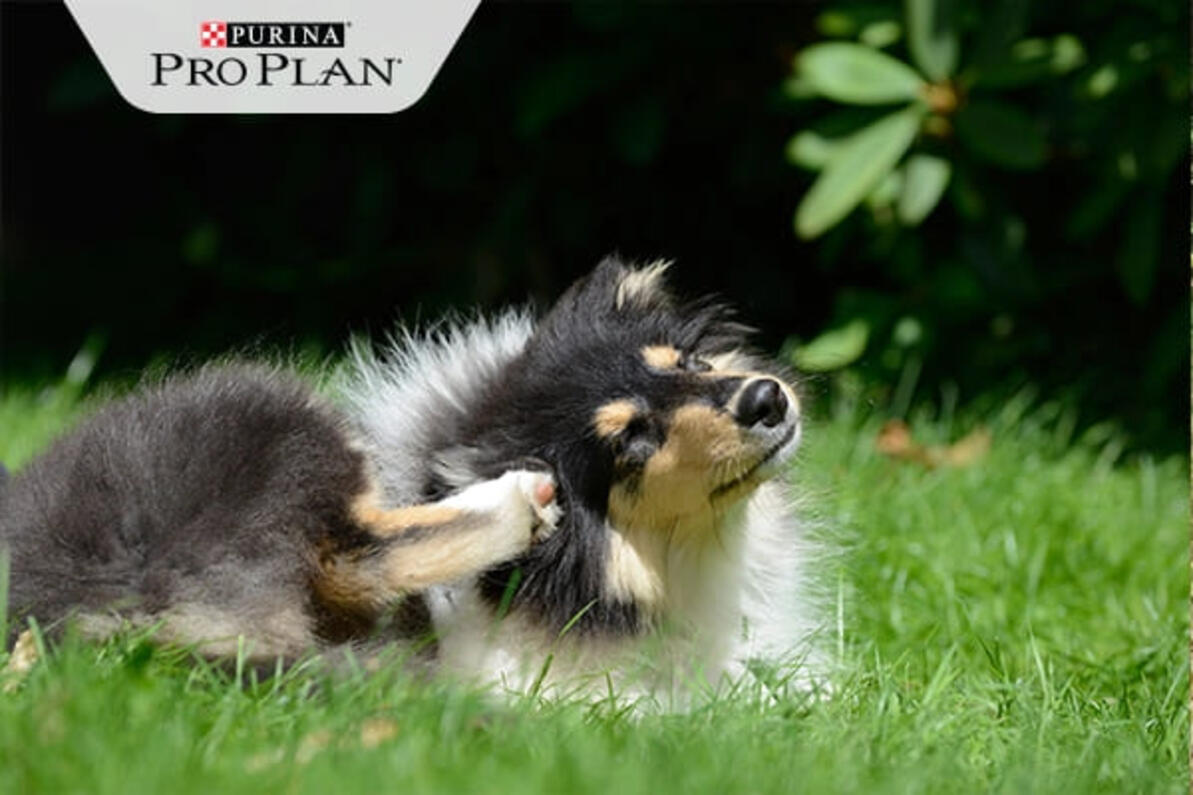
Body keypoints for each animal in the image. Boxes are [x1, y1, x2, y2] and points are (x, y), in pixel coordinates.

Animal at [0, 255, 825, 701]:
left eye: (687, 362)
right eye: (630, 437)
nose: (767, 398)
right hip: (268, 407)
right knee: (353, 553)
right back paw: (514, 501)